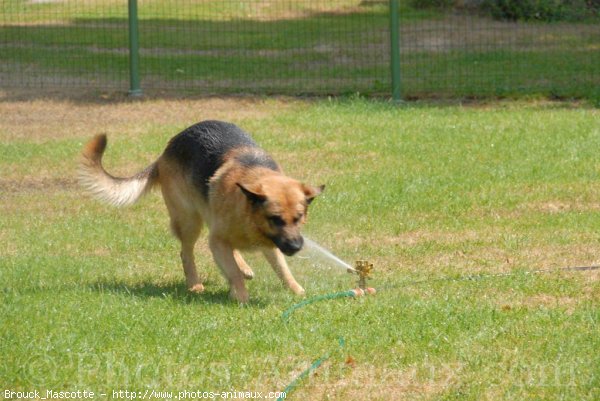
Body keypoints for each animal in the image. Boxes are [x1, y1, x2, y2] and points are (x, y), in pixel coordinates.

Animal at [81, 120, 324, 302]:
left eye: (299, 218)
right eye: (275, 218)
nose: (296, 246)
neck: (246, 206)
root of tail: (166, 150)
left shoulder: (269, 245)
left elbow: (282, 269)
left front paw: (296, 290)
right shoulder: (219, 240)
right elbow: (232, 271)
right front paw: (240, 296)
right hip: (190, 222)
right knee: (186, 253)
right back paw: (195, 285)